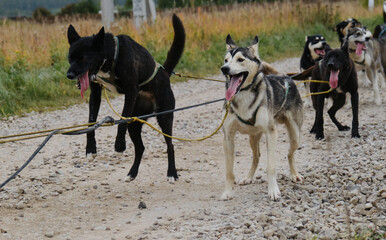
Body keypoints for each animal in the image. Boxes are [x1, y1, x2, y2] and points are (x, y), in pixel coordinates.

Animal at [66, 14, 185, 181]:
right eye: (70, 58)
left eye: (83, 58)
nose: (69, 75)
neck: (109, 55)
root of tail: (165, 73)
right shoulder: (95, 93)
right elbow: (91, 121)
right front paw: (90, 149)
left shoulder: (131, 91)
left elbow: (121, 121)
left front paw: (119, 145)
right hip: (135, 122)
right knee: (140, 147)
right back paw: (132, 173)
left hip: (164, 117)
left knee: (170, 145)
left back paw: (172, 173)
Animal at [219, 34, 304, 201]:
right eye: (226, 60)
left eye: (240, 59)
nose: (224, 69)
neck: (244, 95)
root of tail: (285, 78)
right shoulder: (228, 137)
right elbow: (229, 171)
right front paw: (227, 192)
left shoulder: (271, 132)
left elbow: (271, 166)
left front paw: (273, 191)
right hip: (253, 138)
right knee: (256, 156)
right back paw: (249, 177)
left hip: (295, 135)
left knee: (290, 154)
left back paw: (294, 174)